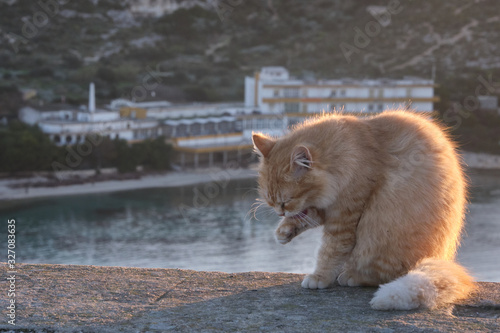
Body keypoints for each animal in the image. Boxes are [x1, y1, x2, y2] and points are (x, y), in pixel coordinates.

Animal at [252, 110, 474, 310]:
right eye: (271, 202)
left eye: (286, 201)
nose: (280, 213)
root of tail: (440, 257)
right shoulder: (329, 208)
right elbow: (309, 216)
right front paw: (284, 231)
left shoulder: (345, 216)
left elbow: (329, 251)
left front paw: (320, 276)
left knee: (381, 274)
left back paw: (351, 276)